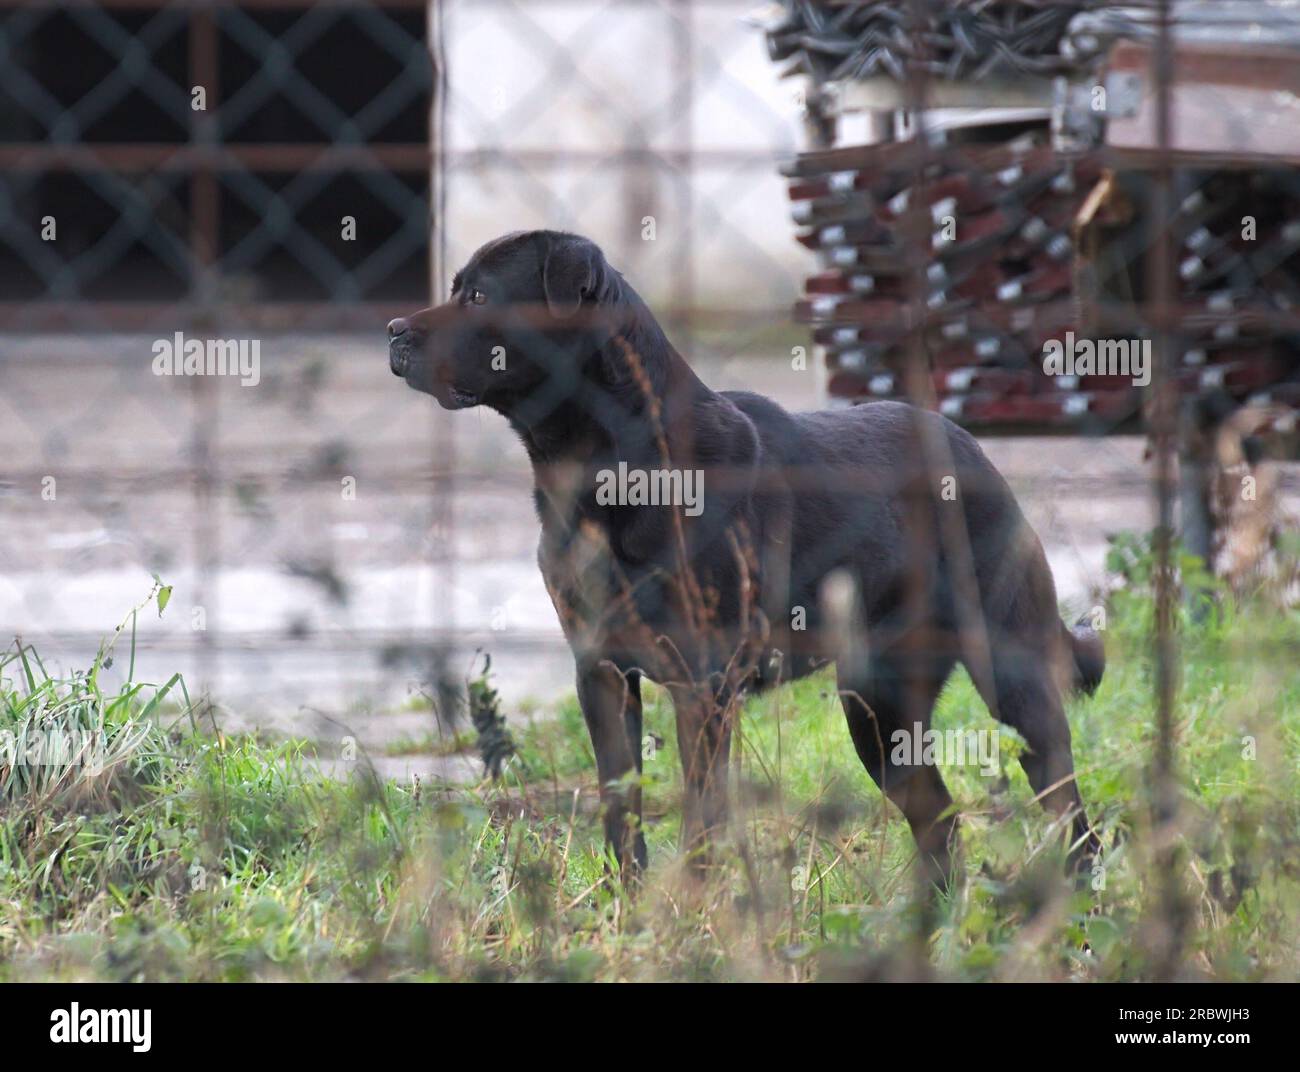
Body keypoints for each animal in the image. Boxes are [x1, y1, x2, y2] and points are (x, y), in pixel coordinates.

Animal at [390, 229, 1102, 883]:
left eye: (478, 296)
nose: (394, 330)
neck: (606, 465)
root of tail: (974, 449)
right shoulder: (601, 671)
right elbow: (621, 808)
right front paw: (631, 909)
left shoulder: (702, 684)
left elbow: (703, 818)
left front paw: (692, 911)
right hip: (877, 702)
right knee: (939, 820)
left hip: (1010, 673)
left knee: (1068, 813)